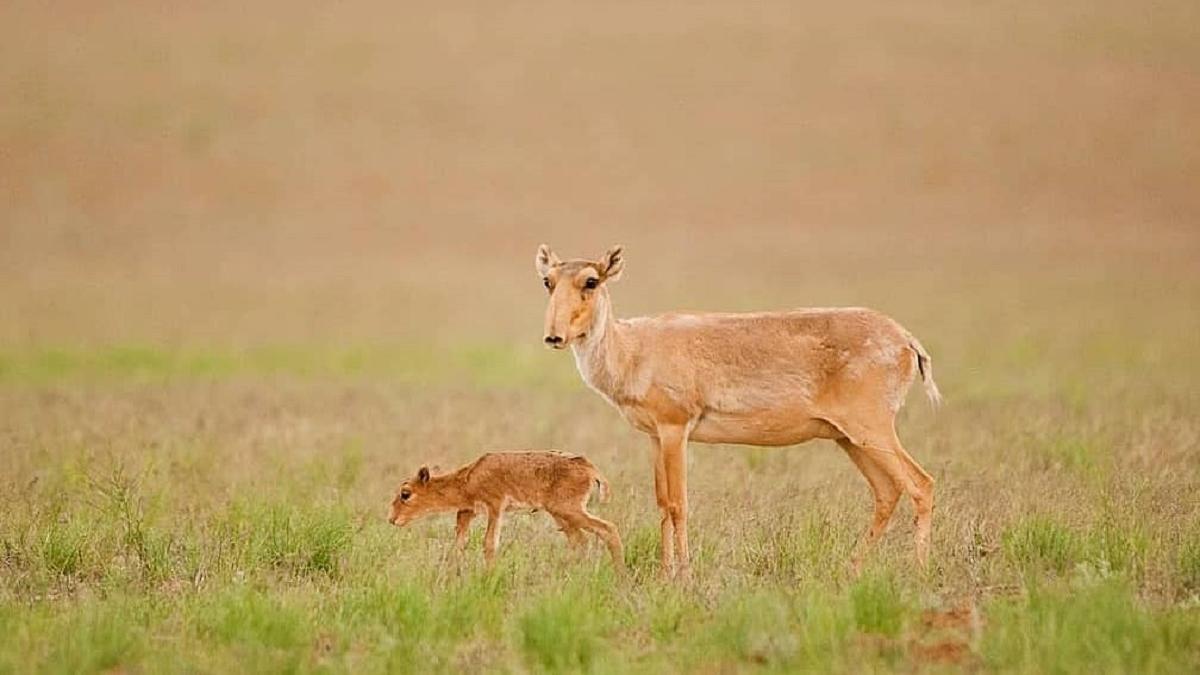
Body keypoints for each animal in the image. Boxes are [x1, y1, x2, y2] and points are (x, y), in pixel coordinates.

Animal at [540, 243, 940, 576]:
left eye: (591, 280)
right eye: (548, 281)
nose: (553, 336)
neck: (635, 348)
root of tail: (906, 339)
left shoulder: (676, 429)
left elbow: (679, 504)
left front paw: (683, 576)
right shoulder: (656, 437)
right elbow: (662, 503)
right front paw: (665, 573)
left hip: (872, 430)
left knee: (921, 484)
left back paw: (918, 574)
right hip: (849, 439)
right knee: (887, 492)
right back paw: (851, 569)